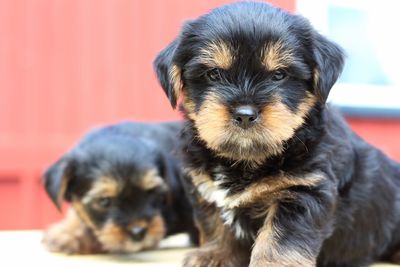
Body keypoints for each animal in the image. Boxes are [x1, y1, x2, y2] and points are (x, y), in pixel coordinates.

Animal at [154, 2, 400, 267]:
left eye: (279, 75)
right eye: (214, 74)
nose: (245, 114)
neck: (247, 159)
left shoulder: (303, 190)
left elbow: (280, 241)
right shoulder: (207, 190)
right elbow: (215, 224)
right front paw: (215, 254)